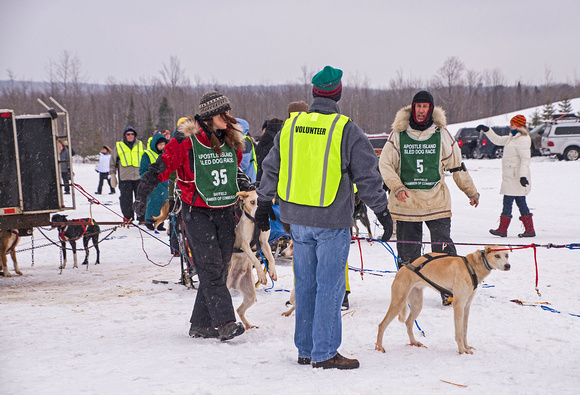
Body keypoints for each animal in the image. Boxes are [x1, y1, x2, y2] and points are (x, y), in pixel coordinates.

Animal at [376, 248, 508, 356]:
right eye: (497, 255)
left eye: (507, 255)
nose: (508, 266)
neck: (471, 266)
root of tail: (402, 268)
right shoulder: (458, 306)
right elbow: (459, 333)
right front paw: (462, 350)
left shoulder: (466, 306)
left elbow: (464, 330)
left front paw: (466, 347)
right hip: (398, 304)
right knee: (382, 325)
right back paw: (379, 347)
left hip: (417, 305)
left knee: (408, 323)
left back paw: (413, 342)